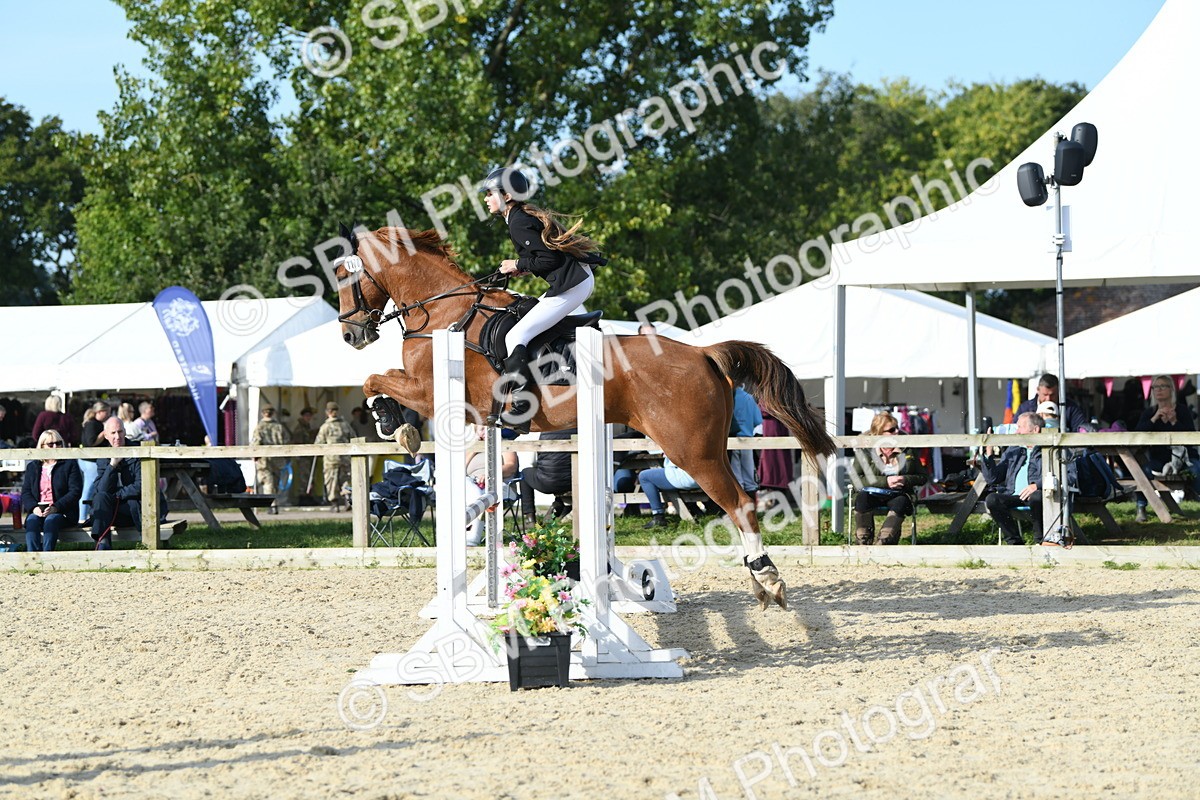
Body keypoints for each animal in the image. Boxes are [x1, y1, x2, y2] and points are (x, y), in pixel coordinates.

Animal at [335, 226, 836, 609]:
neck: (443, 310)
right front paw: (396, 425)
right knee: (741, 500)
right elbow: (378, 378)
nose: (350, 335)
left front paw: (394, 426)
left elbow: (374, 380)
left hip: (691, 452)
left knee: (739, 503)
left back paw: (768, 578)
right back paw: (759, 583)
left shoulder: (431, 391)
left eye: (342, 275)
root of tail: (702, 353)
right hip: (710, 447)